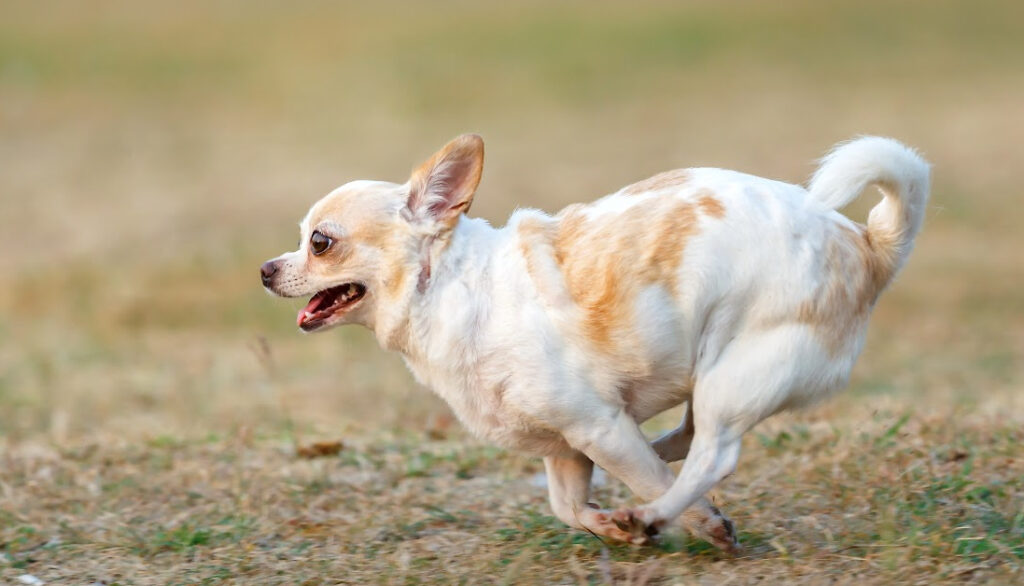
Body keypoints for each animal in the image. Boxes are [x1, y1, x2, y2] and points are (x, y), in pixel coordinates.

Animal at [262, 135, 929, 553]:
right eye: (299, 238)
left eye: (320, 242)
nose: (267, 269)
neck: (452, 287)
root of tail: (868, 244)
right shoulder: (566, 445)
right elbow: (568, 506)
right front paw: (610, 528)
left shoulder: (594, 424)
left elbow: (650, 482)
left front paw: (684, 522)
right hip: (712, 371)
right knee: (684, 439)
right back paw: (652, 469)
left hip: (736, 373)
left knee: (712, 455)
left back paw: (662, 509)